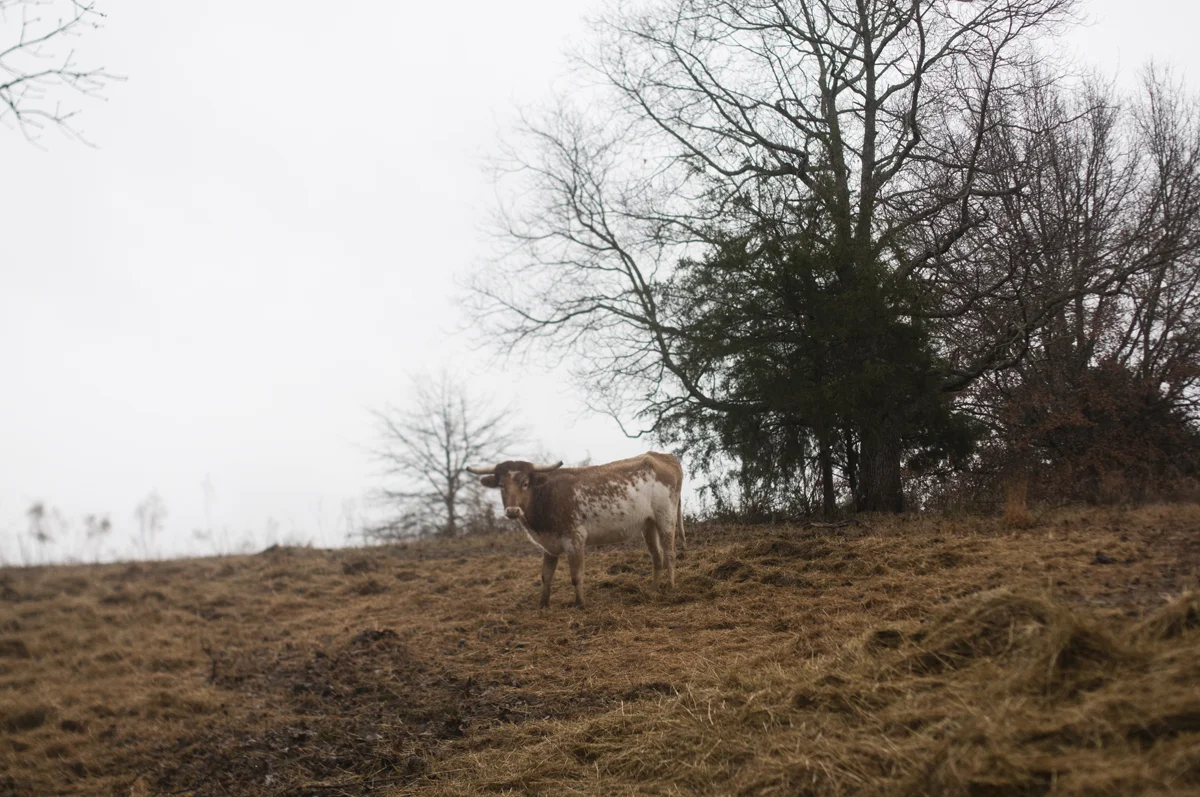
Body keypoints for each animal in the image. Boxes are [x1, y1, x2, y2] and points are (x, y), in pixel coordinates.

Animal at [466, 452, 686, 608]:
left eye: (525, 483)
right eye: (501, 485)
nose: (512, 511)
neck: (546, 496)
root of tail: (664, 456)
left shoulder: (575, 539)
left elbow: (576, 575)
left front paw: (580, 604)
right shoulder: (549, 544)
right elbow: (546, 576)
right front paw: (543, 605)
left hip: (666, 516)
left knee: (670, 553)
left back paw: (670, 587)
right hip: (648, 523)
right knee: (657, 556)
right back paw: (653, 590)